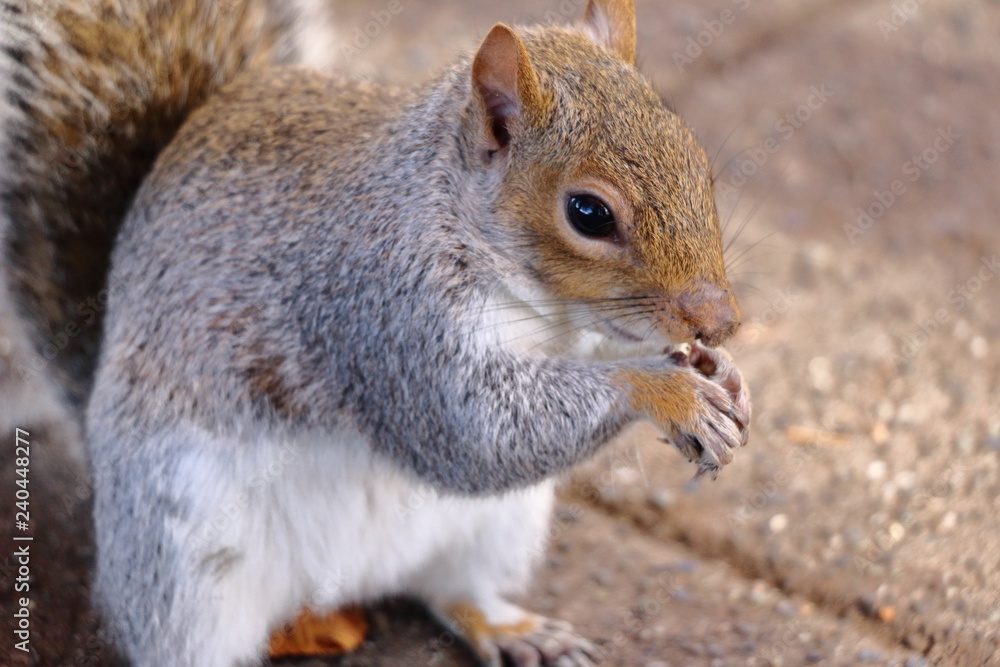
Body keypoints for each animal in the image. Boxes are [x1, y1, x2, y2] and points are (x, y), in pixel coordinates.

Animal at [1, 0, 751, 665]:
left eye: (698, 162)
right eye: (589, 212)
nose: (721, 319)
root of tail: (336, 590)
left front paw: (715, 371)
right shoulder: (376, 310)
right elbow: (471, 431)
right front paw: (670, 393)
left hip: (498, 526)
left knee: (451, 589)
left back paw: (510, 627)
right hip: (184, 563)